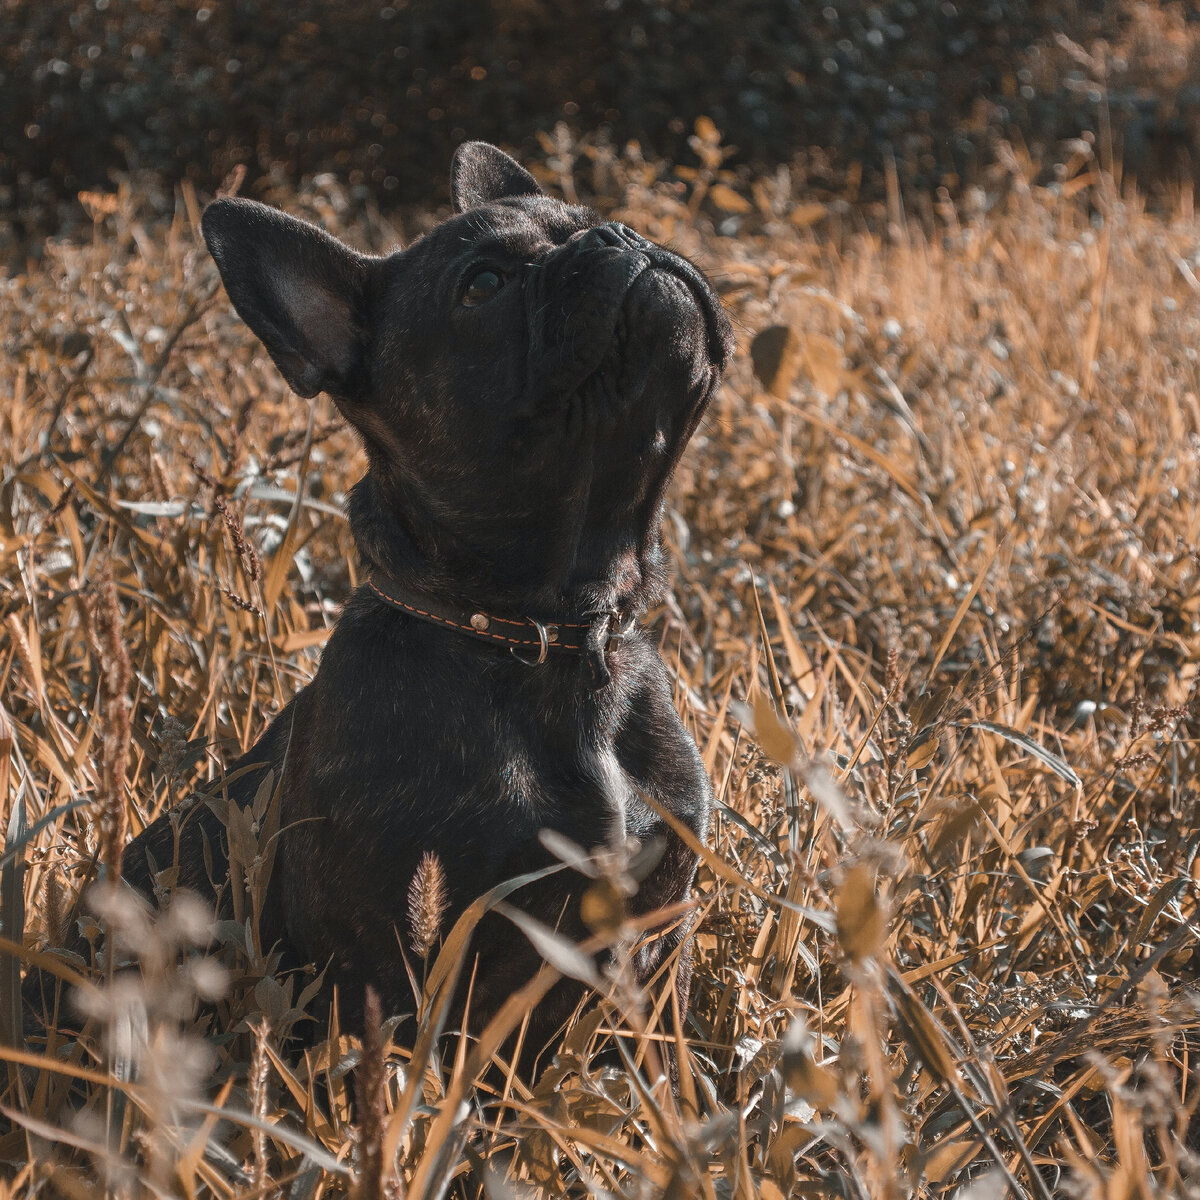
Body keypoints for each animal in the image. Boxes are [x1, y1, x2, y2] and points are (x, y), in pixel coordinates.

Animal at [119, 142, 729, 1070]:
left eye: (593, 219)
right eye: (483, 284)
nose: (621, 235)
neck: (550, 635)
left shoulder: (661, 939)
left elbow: (661, 1060)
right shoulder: (395, 963)